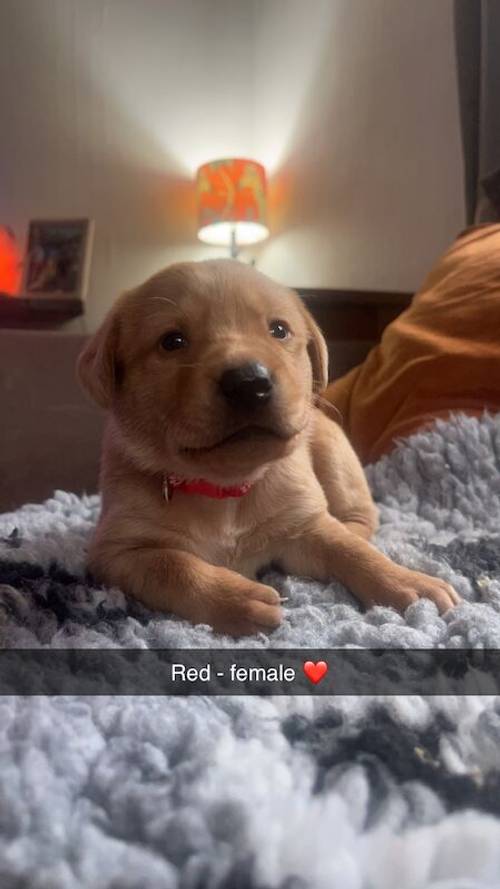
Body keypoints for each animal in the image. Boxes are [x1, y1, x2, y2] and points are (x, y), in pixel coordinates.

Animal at [79, 260, 460, 636]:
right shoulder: (117, 551)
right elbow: (173, 564)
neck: (227, 490)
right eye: (172, 341)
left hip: (335, 455)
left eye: (279, 330)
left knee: (360, 519)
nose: (249, 382)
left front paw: (407, 582)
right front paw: (238, 598)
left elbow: (350, 550)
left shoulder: (302, 523)